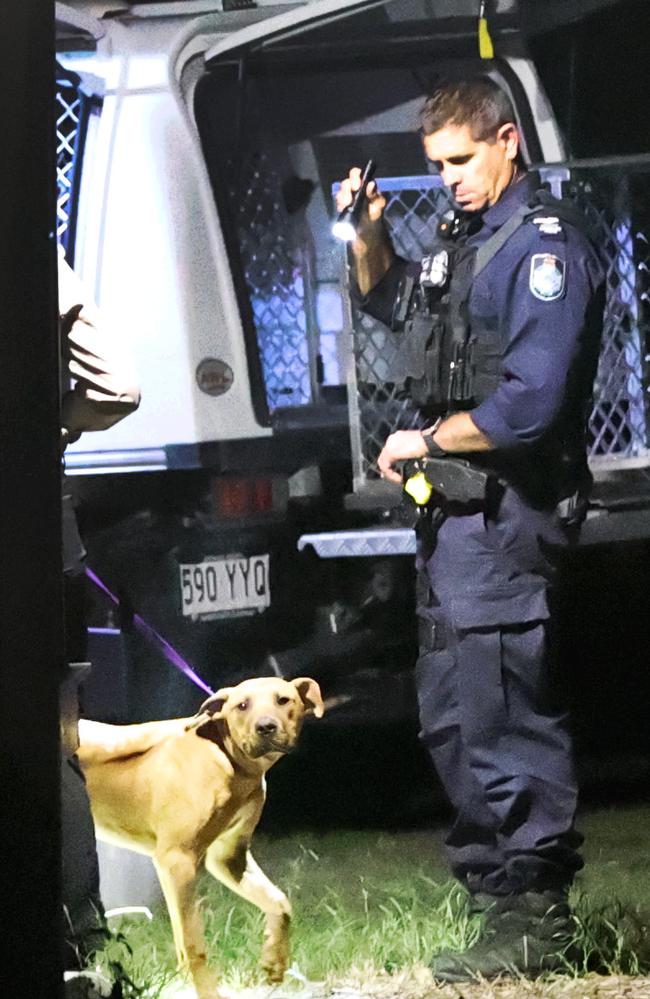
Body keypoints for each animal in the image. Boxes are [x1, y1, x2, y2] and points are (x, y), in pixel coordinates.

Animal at [77, 676, 322, 999]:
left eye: (283, 700)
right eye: (242, 705)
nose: (266, 726)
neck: (228, 759)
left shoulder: (229, 857)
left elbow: (279, 903)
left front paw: (274, 961)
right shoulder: (177, 862)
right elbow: (193, 945)